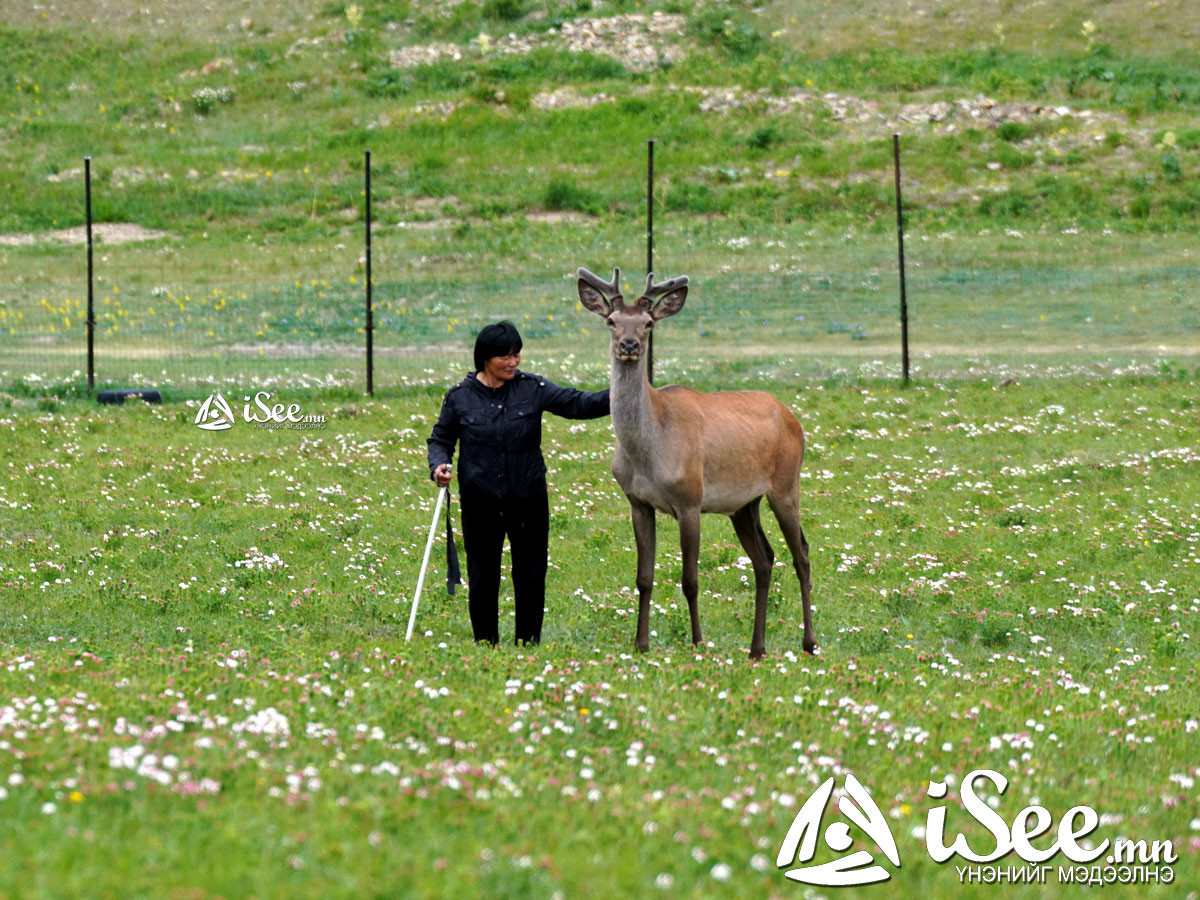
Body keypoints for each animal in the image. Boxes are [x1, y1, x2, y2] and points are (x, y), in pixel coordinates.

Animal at [573, 264, 816, 657]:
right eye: (611, 320)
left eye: (648, 323)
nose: (629, 345)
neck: (649, 455)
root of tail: (793, 417)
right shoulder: (638, 503)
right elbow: (644, 577)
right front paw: (641, 644)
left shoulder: (690, 499)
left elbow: (690, 580)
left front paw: (698, 640)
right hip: (744, 504)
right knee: (764, 559)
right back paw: (757, 648)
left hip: (785, 484)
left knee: (802, 554)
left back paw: (809, 641)